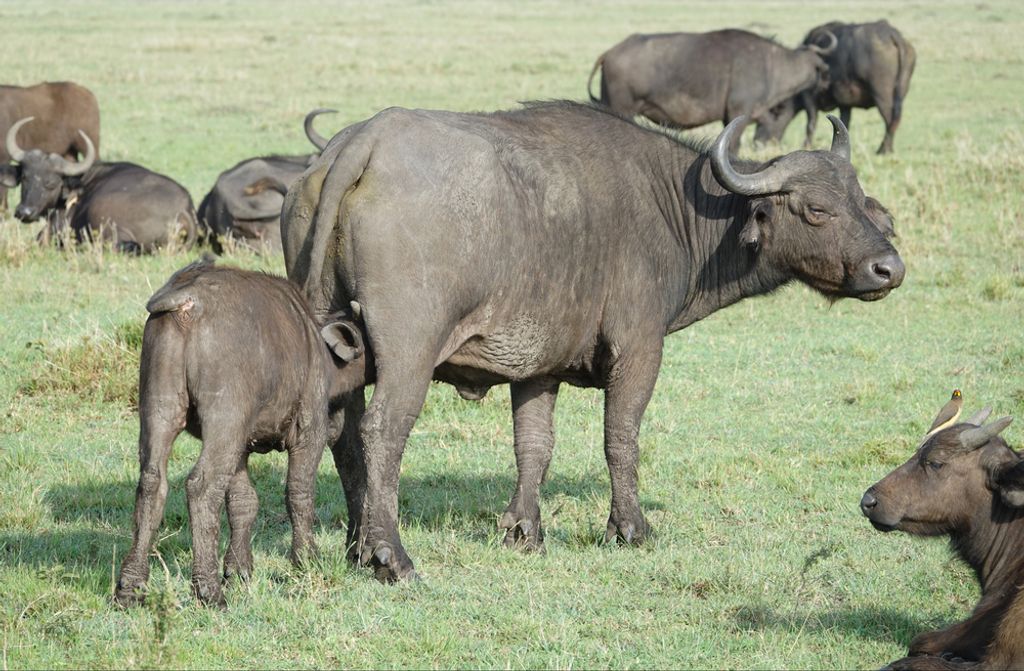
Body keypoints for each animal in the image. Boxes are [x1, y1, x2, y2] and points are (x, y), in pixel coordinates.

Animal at [115, 258, 369, 608]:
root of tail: (186, 301)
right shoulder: (309, 433)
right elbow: (299, 492)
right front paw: (306, 559)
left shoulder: (241, 446)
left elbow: (243, 502)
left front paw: (238, 568)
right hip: (224, 420)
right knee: (202, 486)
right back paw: (208, 589)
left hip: (162, 408)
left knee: (152, 481)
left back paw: (131, 585)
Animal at [282, 100, 904, 582]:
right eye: (817, 210)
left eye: (864, 203)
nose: (888, 269)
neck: (672, 208)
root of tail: (364, 141)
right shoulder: (640, 349)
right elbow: (621, 437)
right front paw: (629, 527)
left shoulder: (537, 368)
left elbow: (534, 445)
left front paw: (524, 531)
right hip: (409, 351)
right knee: (382, 432)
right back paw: (390, 555)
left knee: (342, 438)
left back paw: (356, 546)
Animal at [587, 29, 835, 150]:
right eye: (822, 68)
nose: (827, 81)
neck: (771, 66)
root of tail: (609, 53)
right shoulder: (738, 113)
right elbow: (733, 146)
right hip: (622, 109)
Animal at [755, 20, 916, 154]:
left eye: (771, 114)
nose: (757, 141)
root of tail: (891, 34)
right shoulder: (845, 105)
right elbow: (845, 122)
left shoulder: (809, 98)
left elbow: (811, 123)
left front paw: (806, 145)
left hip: (882, 96)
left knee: (891, 120)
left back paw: (884, 149)